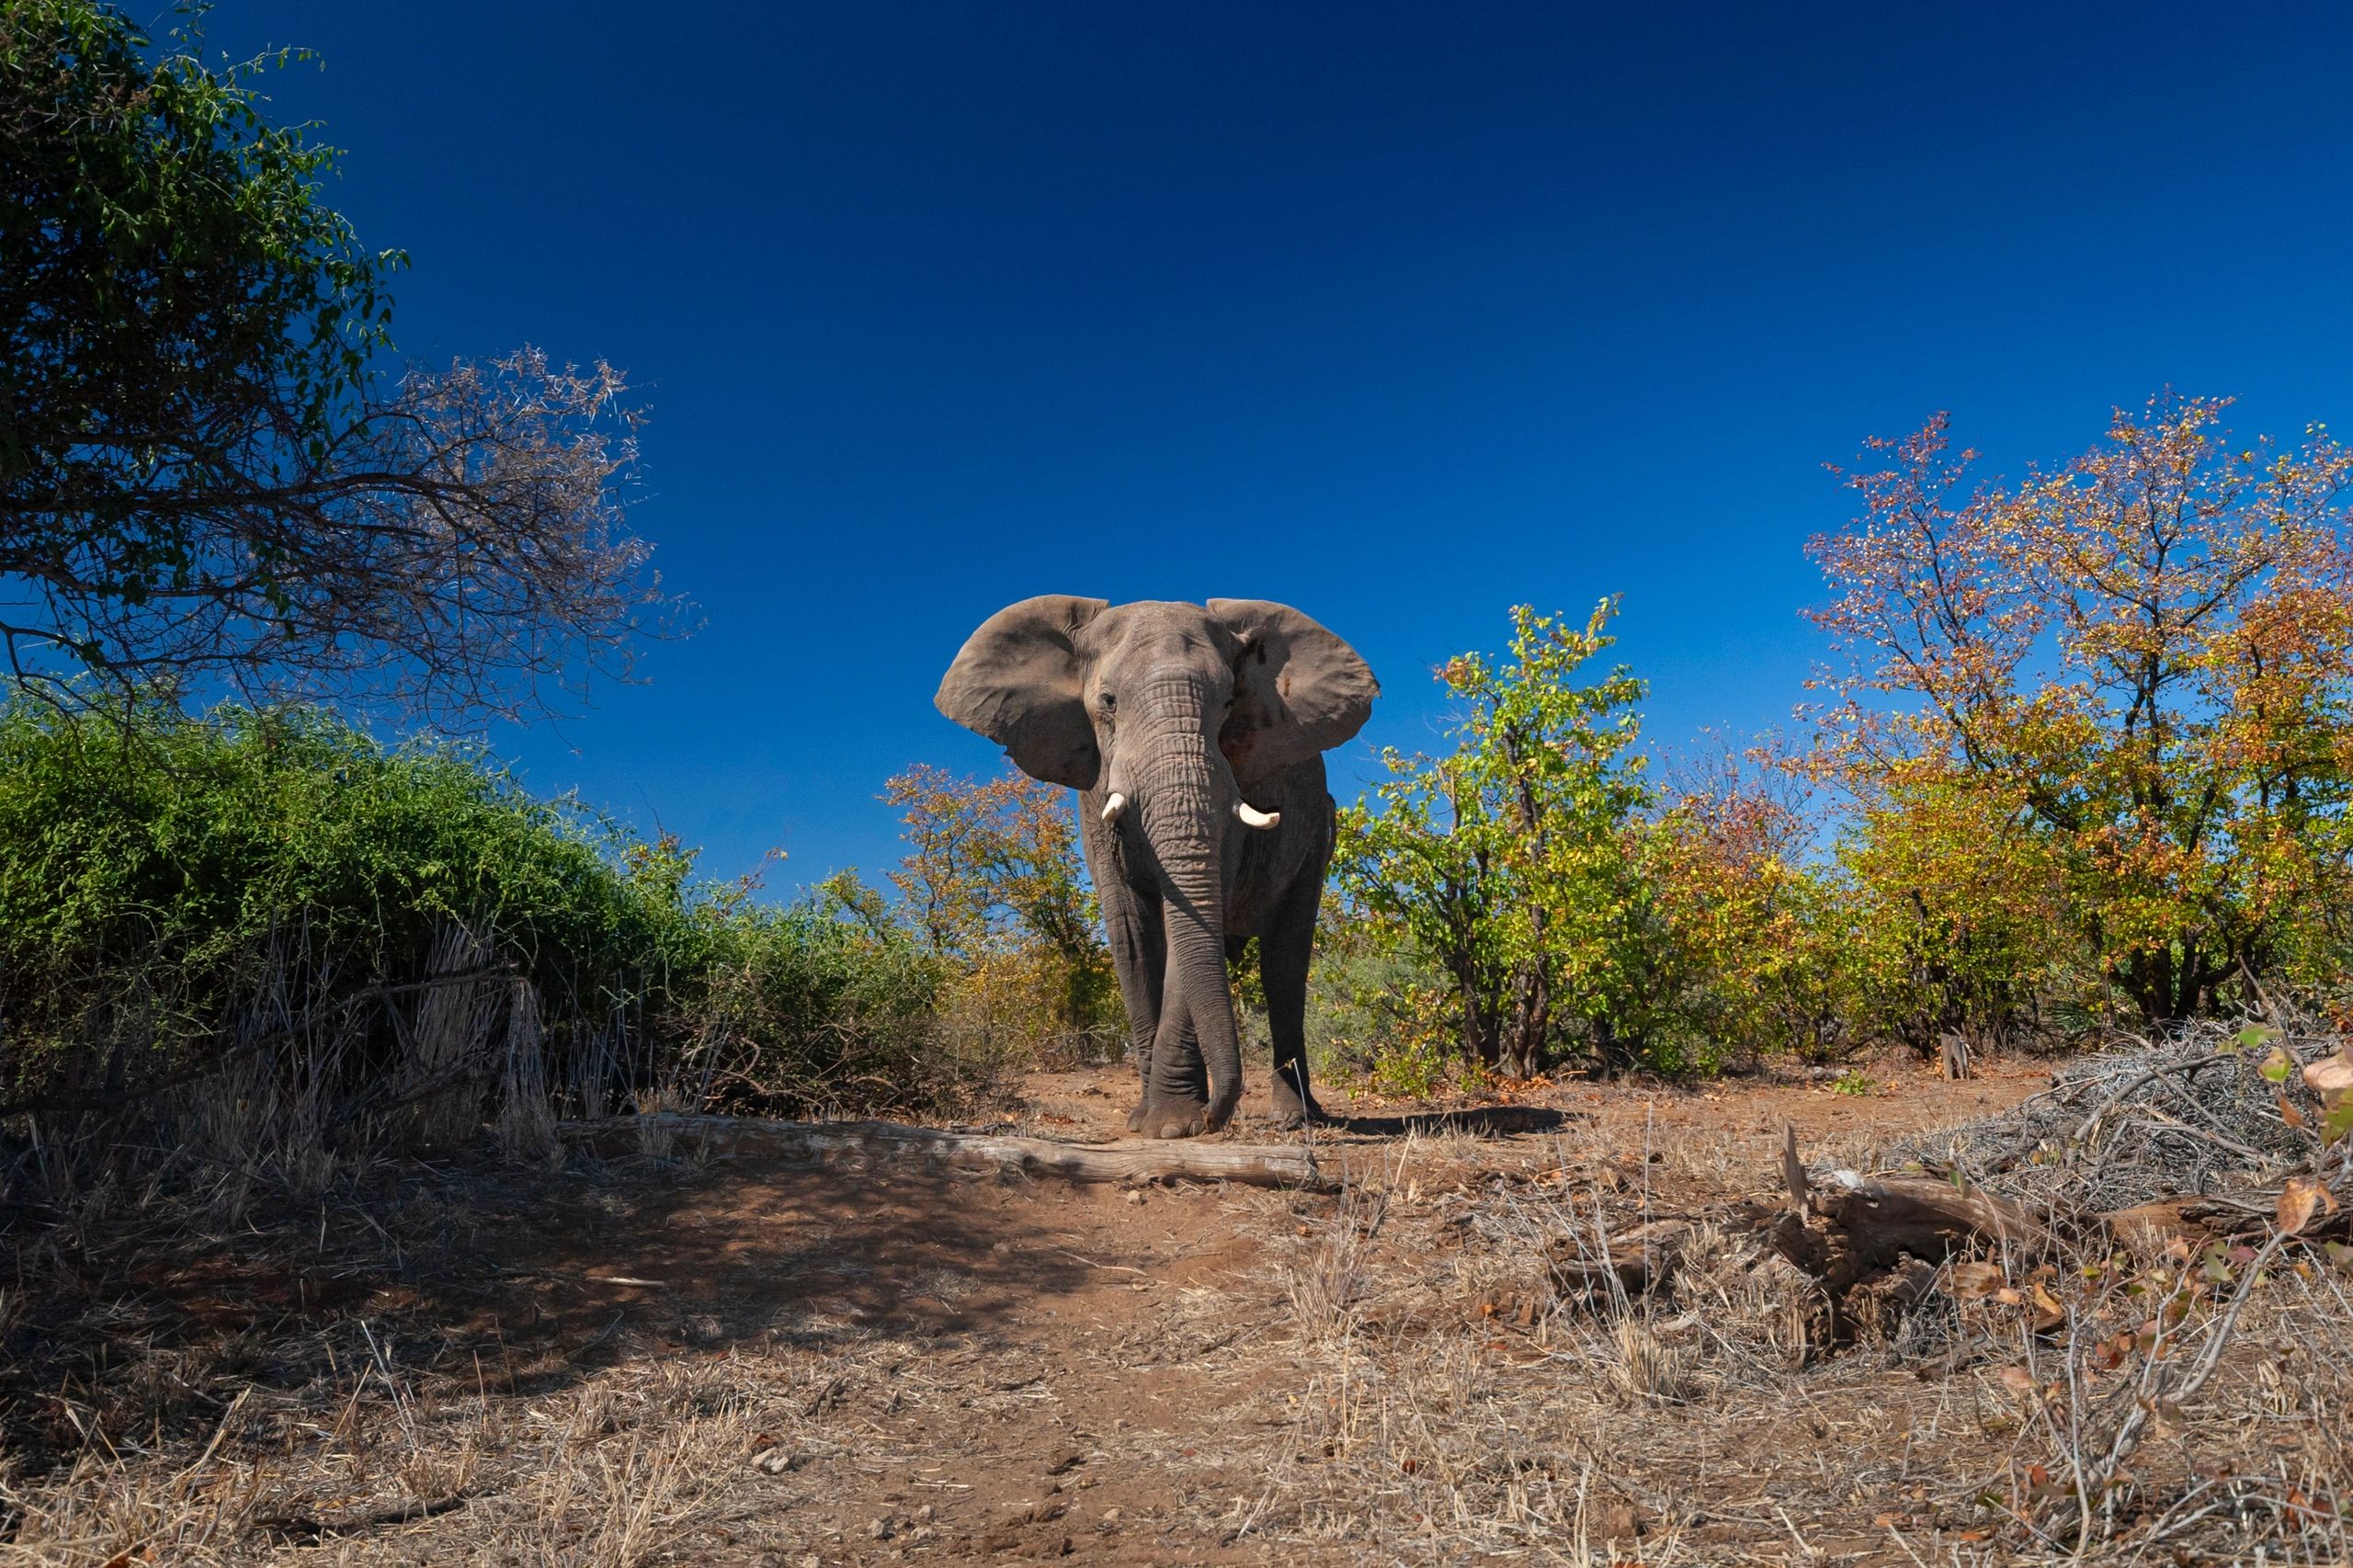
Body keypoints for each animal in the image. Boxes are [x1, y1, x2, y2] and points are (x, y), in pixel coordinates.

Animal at [936, 597, 1378, 1139]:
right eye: (1107, 701)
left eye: (1228, 704)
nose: (1216, 1118)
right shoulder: (1093, 798)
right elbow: (1134, 936)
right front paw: (1147, 1120)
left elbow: (1190, 924)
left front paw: (1171, 1127)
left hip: (1318, 832)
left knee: (1285, 962)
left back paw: (1295, 1119)